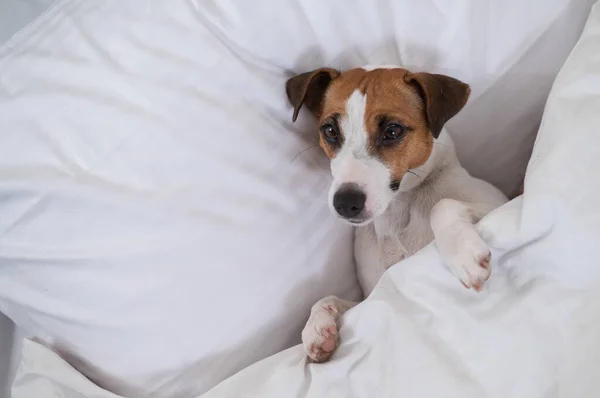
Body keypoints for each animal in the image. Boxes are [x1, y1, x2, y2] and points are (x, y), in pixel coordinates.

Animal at [286, 66, 506, 364]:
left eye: (392, 130)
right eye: (330, 130)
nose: (345, 203)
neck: (397, 212)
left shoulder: (499, 202)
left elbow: (442, 205)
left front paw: (463, 254)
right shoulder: (372, 295)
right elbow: (326, 299)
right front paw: (317, 327)